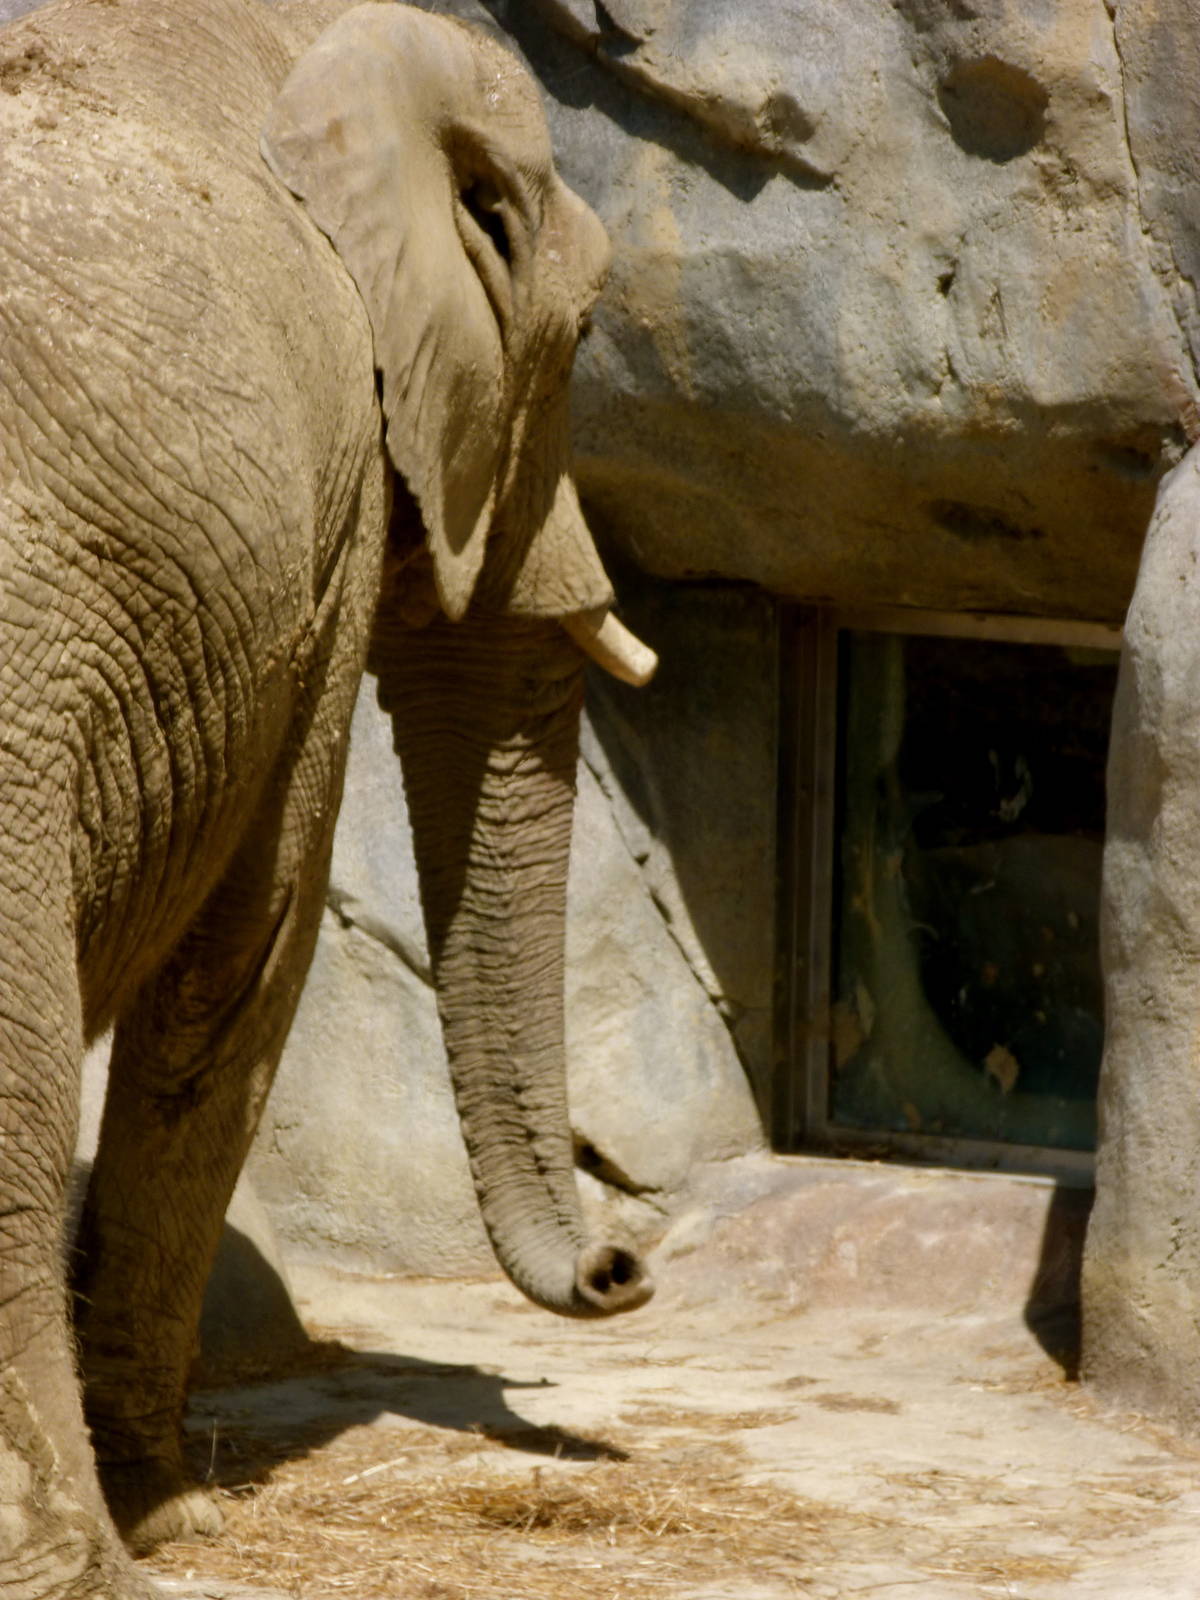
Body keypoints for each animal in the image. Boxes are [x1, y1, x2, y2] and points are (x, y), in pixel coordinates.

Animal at [0, 0, 656, 1592]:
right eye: (586, 335)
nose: (625, 1262)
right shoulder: (337, 496)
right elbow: (253, 955)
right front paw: (179, 1520)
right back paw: (85, 1563)